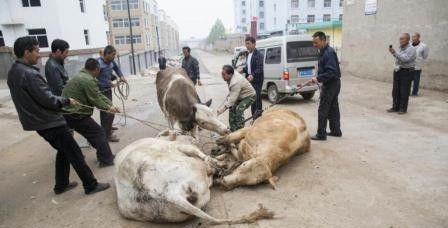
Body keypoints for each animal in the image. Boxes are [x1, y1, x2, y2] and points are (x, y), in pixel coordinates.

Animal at [114, 134, 274, 224]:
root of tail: (169, 194)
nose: (194, 138)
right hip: (194, 168)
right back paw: (227, 165)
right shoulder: (185, 148)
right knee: (209, 167)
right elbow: (206, 157)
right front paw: (224, 159)